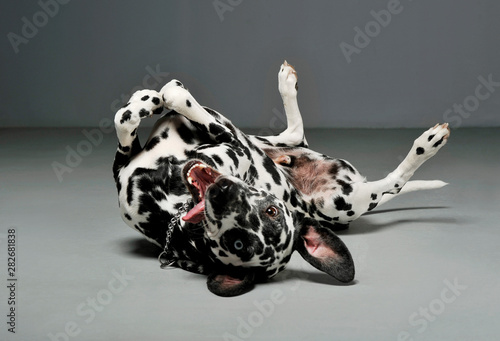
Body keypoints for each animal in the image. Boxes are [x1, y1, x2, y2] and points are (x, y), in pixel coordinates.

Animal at [113, 62, 450, 296]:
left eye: (271, 212)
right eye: (234, 242)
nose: (222, 192)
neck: (169, 207)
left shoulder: (233, 141)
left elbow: (169, 105)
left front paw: (161, 98)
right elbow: (127, 119)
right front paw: (146, 102)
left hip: (341, 200)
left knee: (392, 181)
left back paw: (426, 145)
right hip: (293, 160)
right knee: (295, 135)